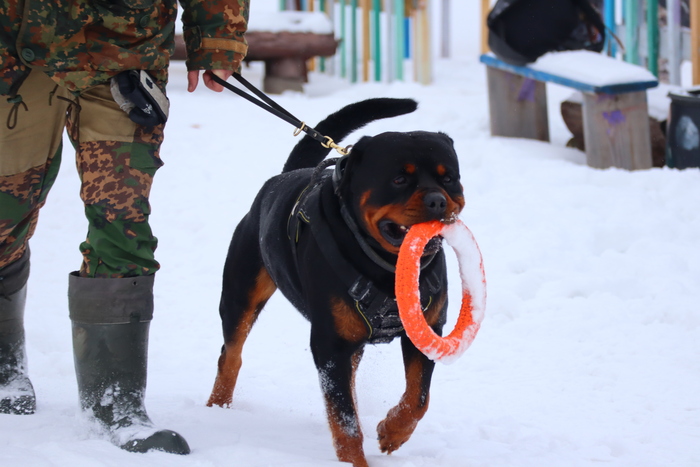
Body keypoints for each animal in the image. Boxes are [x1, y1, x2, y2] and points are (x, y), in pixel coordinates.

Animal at [207, 98, 465, 467]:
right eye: (399, 179)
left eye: (450, 179)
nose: (437, 200)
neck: (386, 268)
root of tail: (282, 177)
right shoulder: (330, 344)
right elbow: (345, 422)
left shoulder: (427, 329)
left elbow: (418, 398)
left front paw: (392, 431)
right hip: (241, 293)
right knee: (230, 354)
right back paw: (217, 409)